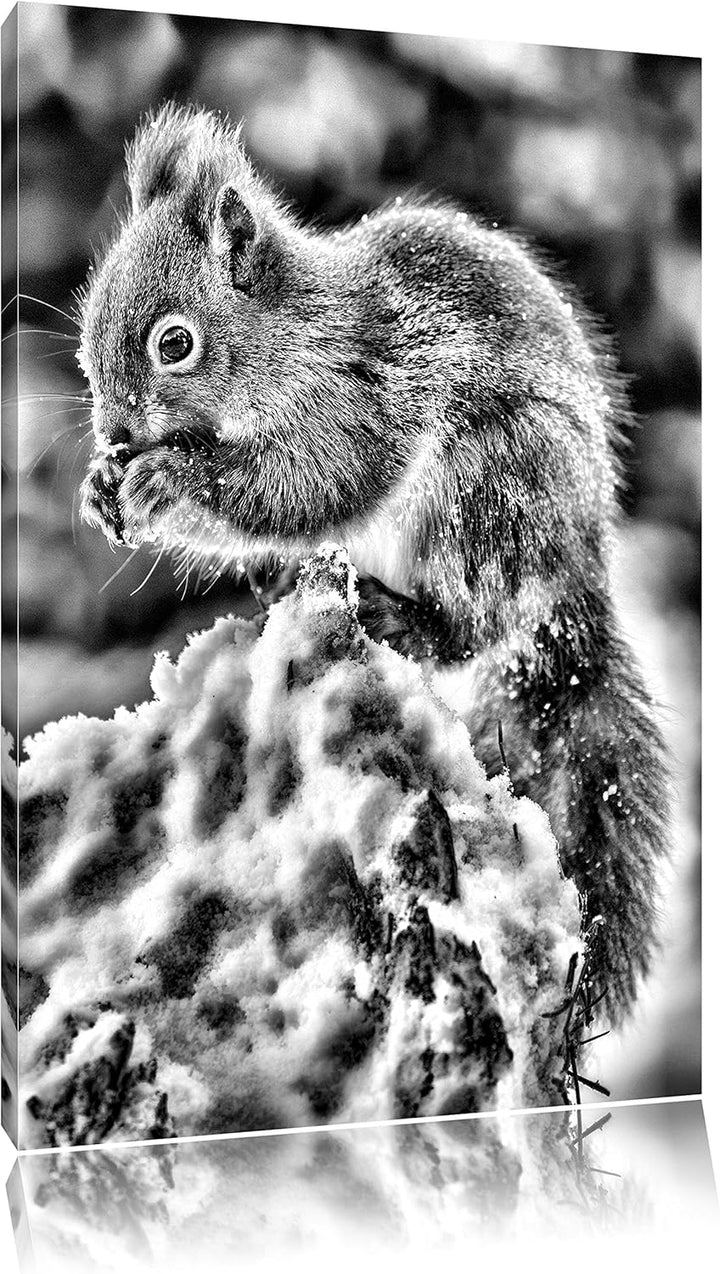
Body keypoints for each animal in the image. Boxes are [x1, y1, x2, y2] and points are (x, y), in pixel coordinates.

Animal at [78, 103, 669, 1020]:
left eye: (174, 343)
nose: (114, 432)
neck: (291, 339)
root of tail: (578, 574)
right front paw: (101, 487)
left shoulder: (359, 400)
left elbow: (308, 486)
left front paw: (164, 482)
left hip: (489, 493)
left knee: (470, 630)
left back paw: (404, 616)